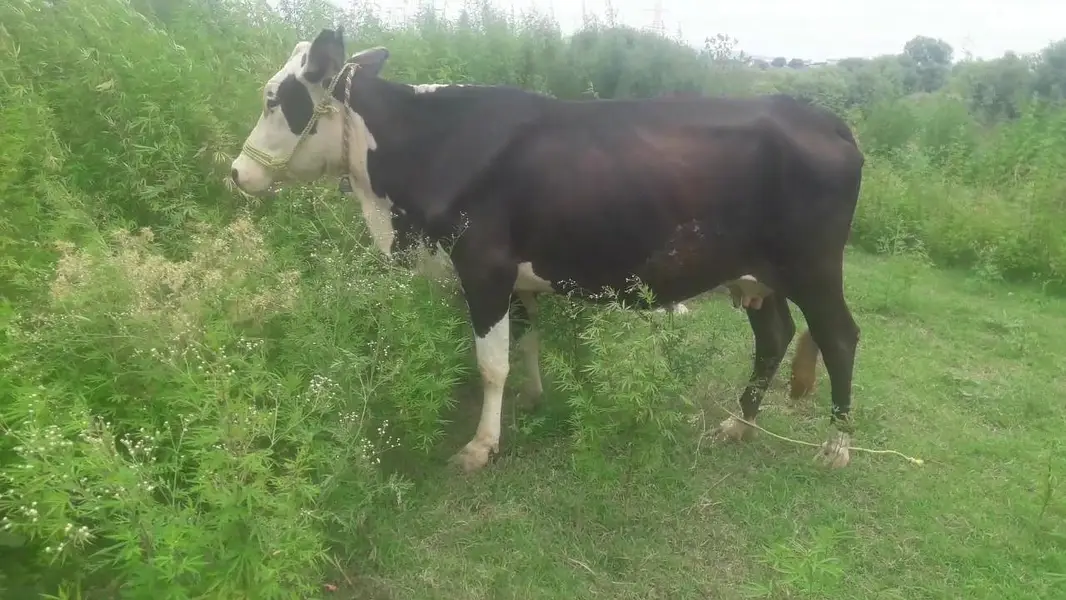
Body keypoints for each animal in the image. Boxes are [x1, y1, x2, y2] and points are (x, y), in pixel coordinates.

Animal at [229, 27, 863, 473]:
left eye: (272, 99)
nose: (236, 173)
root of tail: (820, 115)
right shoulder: (516, 276)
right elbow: (526, 342)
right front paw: (533, 398)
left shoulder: (483, 268)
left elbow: (490, 363)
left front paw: (481, 446)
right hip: (759, 274)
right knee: (775, 336)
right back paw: (740, 425)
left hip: (814, 266)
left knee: (838, 337)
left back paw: (836, 446)